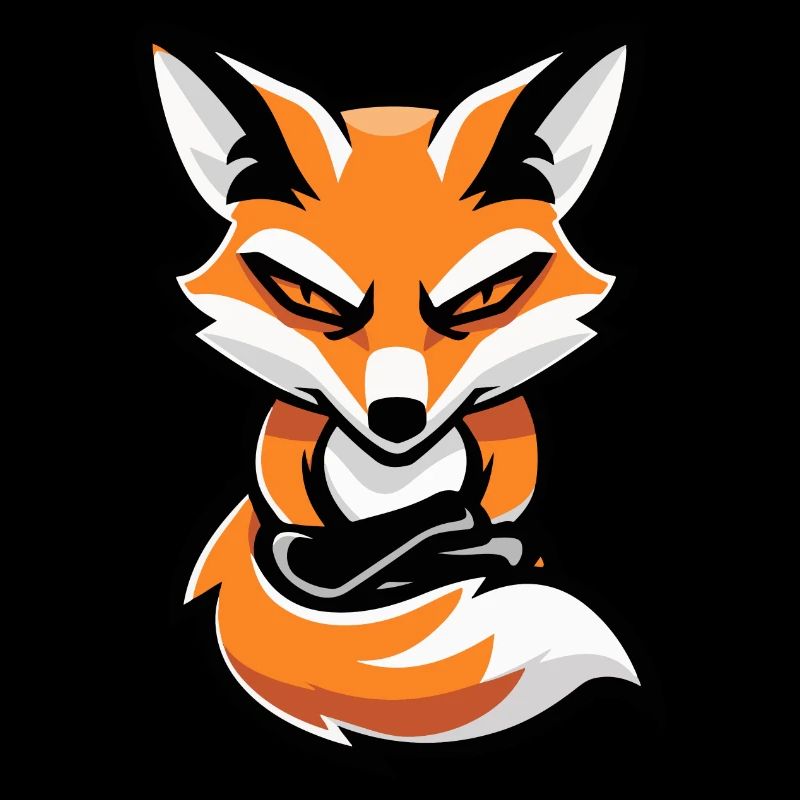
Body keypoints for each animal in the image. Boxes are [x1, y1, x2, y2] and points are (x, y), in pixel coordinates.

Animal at [153, 43, 638, 744]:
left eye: (487, 297)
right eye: (304, 296)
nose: (397, 417)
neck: (394, 481)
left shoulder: (508, 455)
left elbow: (487, 536)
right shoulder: (285, 464)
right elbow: (313, 551)